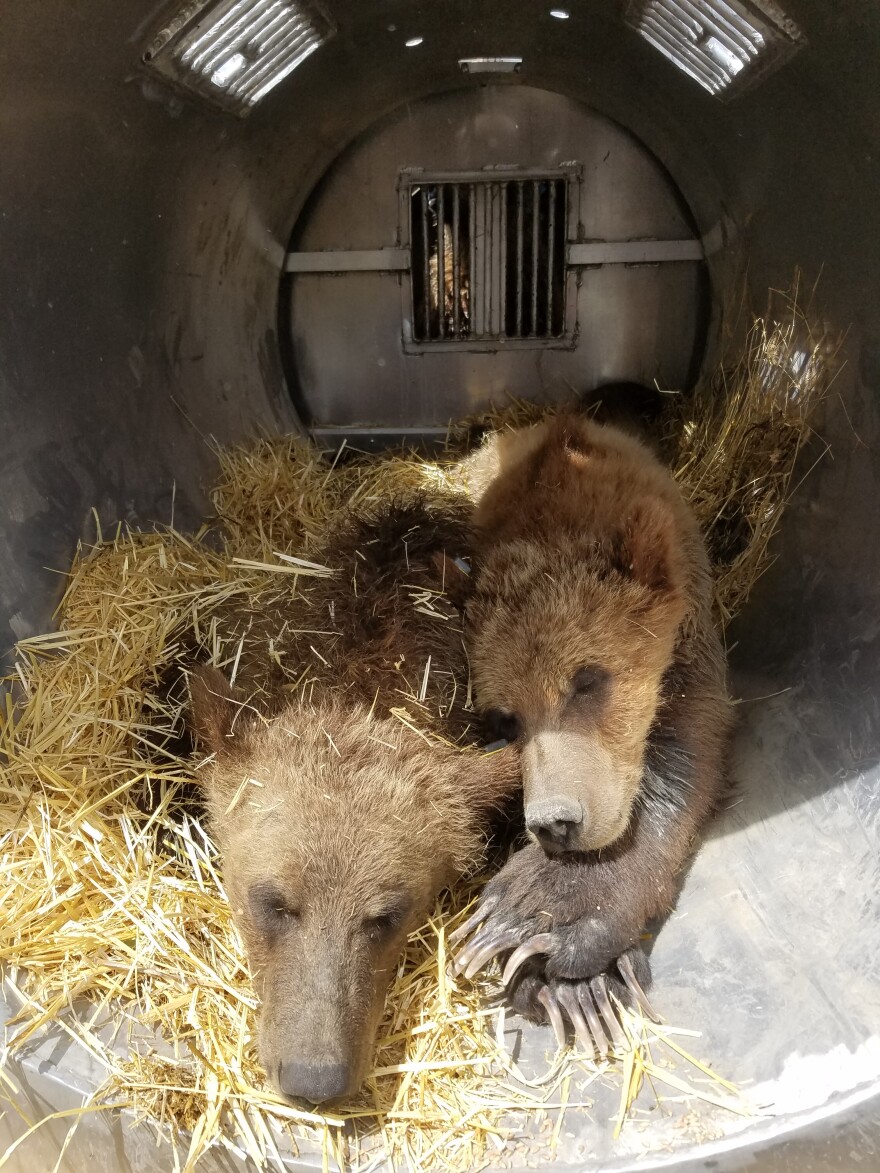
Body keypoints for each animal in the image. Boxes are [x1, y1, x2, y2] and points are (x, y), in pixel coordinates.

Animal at [450, 415, 732, 1055]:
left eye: (586, 680)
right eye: (505, 718)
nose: (555, 821)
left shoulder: (689, 649)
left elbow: (684, 753)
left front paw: (534, 922)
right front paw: (564, 986)